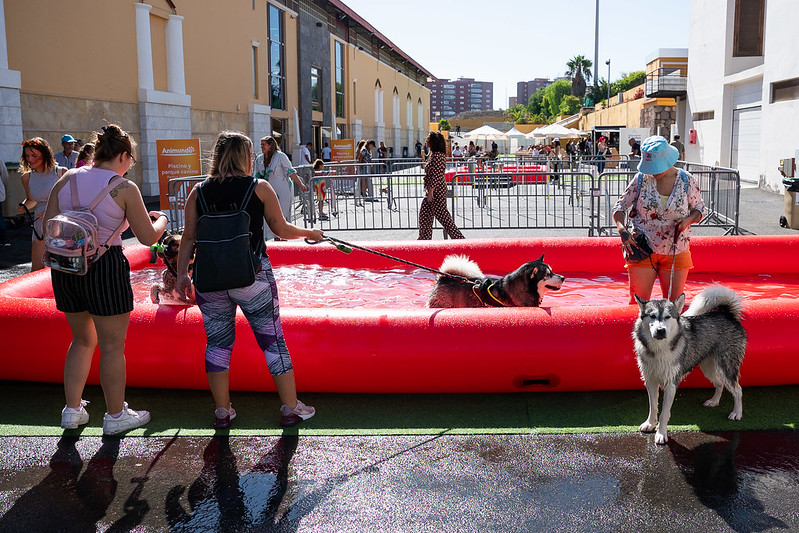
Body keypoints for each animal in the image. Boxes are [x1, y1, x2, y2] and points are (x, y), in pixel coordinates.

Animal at [636, 286, 748, 444]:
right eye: (652, 316)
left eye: (668, 317)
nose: (660, 330)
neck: (658, 350)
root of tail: (727, 314)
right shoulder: (650, 380)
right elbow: (653, 407)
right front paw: (650, 424)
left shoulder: (671, 384)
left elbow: (664, 413)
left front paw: (661, 433)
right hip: (708, 368)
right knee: (719, 383)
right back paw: (714, 401)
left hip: (726, 367)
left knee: (738, 389)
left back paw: (737, 413)